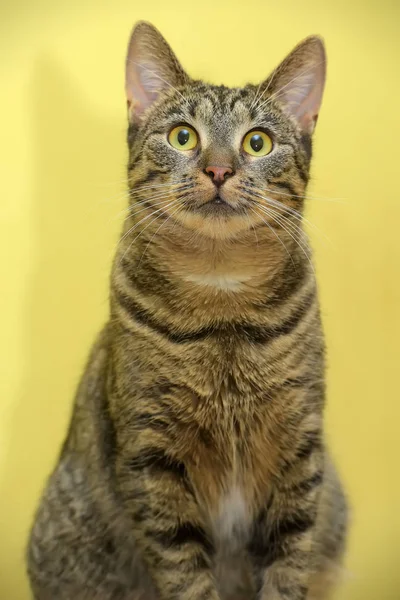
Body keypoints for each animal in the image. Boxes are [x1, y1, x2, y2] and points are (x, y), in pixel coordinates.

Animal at [27, 21, 346, 600]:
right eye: (183, 136)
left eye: (257, 142)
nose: (219, 169)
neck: (221, 302)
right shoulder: (152, 454)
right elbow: (183, 567)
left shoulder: (299, 446)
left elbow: (289, 559)